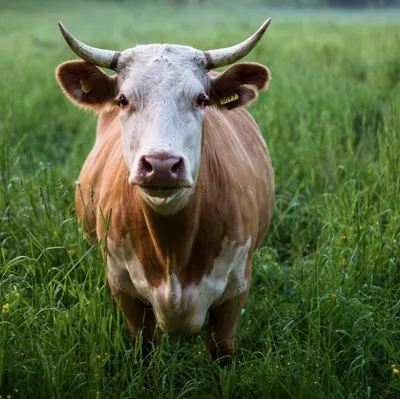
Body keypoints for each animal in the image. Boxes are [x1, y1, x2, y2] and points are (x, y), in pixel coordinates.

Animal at [55, 21, 276, 366]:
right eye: (123, 99)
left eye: (201, 99)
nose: (161, 165)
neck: (174, 249)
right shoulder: (125, 291)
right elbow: (145, 352)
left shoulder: (235, 293)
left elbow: (221, 355)